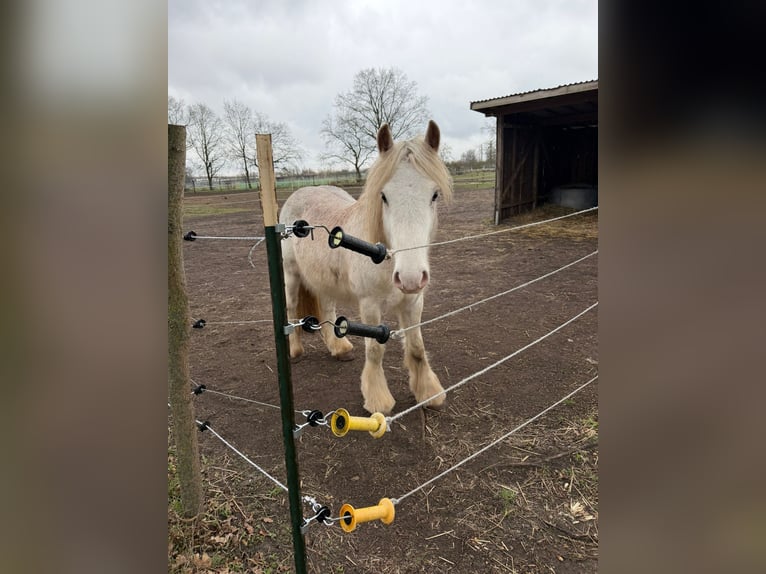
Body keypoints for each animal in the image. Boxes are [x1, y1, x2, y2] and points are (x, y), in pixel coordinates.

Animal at [279, 120, 452, 415]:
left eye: (434, 195)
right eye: (384, 196)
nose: (409, 277)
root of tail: (301, 192)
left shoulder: (414, 301)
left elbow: (417, 347)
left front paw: (429, 393)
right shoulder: (370, 305)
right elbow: (375, 351)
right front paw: (378, 401)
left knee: (327, 308)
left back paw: (339, 348)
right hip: (291, 274)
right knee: (292, 309)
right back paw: (296, 351)